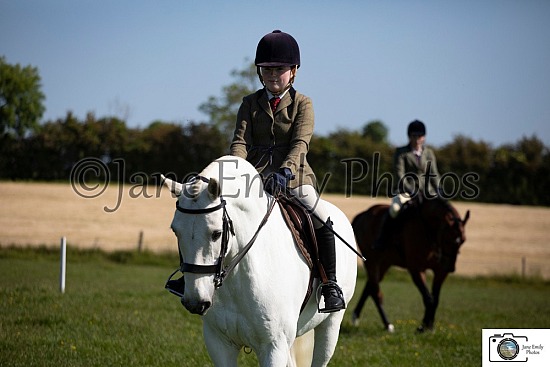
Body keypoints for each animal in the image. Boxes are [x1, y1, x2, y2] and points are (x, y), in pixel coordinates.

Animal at [163, 156, 358, 367]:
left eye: (216, 233)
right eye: (175, 231)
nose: (195, 302)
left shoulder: (274, 346)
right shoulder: (219, 343)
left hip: (331, 323)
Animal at [354, 198, 470, 334]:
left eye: (463, 240)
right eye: (447, 239)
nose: (450, 267)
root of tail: (363, 214)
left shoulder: (440, 271)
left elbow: (435, 299)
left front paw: (430, 326)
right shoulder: (416, 269)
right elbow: (428, 298)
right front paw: (422, 327)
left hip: (384, 263)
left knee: (370, 287)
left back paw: (358, 317)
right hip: (372, 262)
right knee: (375, 292)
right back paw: (388, 325)